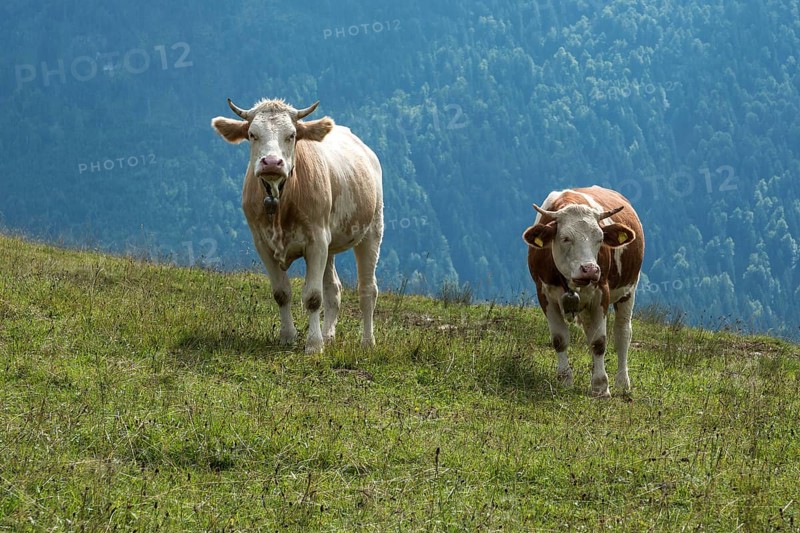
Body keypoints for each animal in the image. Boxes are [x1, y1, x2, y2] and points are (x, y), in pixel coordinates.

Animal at [211, 98, 383, 354]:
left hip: (372, 229)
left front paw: (313, 345)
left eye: (291, 135)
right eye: (252, 134)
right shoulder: (262, 243)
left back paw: (367, 342)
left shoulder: (316, 241)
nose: (272, 162)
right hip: (330, 245)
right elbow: (281, 293)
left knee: (367, 289)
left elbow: (313, 297)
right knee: (334, 289)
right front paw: (288, 336)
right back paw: (328, 335)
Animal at [522, 186, 644, 398]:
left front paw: (601, 386)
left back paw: (622, 383)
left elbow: (599, 342)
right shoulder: (544, 295)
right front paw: (565, 380)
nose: (590, 269)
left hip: (629, 290)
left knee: (622, 333)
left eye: (600, 238)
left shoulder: (601, 294)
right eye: (565, 238)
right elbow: (560, 339)